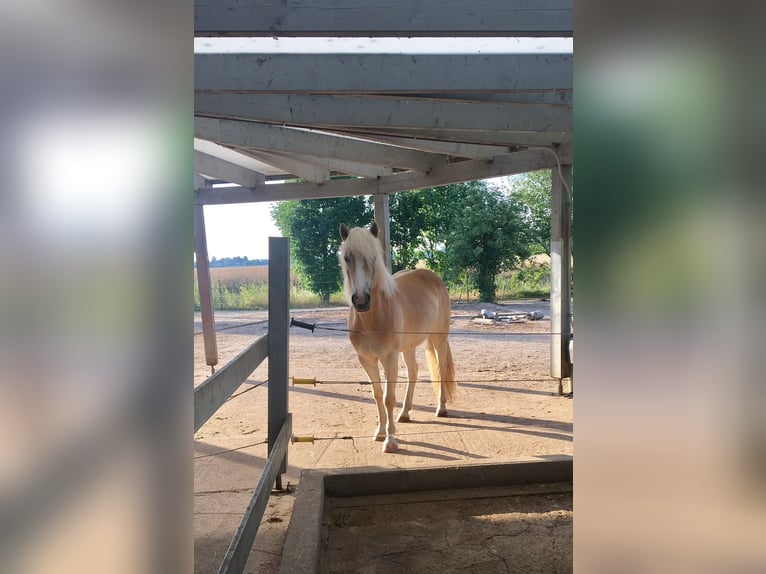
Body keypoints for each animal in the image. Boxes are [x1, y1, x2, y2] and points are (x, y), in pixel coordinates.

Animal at [340, 224, 460, 454]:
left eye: (374, 257)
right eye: (347, 258)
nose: (361, 300)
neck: (371, 319)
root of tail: (432, 277)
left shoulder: (389, 358)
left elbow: (389, 397)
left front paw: (390, 441)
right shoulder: (366, 360)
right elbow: (377, 394)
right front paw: (379, 432)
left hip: (439, 339)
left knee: (440, 369)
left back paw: (441, 408)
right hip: (409, 347)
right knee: (413, 371)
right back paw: (405, 413)